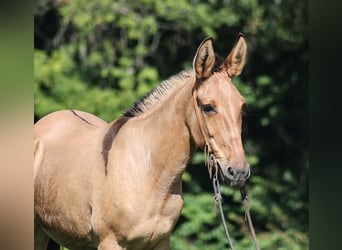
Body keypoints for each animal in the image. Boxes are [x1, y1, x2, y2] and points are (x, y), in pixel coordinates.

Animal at [34, 34, 248, 249]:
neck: (148, 173)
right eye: (208, 107)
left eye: (242, 105)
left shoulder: (161, 242)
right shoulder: (110, 242)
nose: (238, 171)